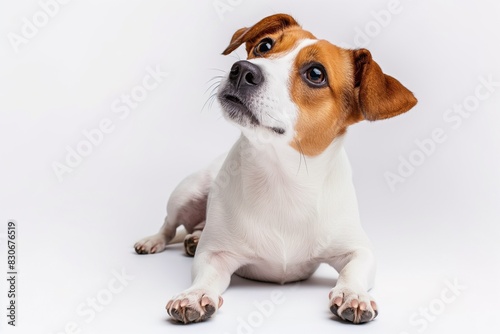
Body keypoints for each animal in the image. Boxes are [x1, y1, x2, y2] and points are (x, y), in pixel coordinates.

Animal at [135, 13, 416, 324]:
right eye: (264, 46)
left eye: (315, 74)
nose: (241, 70)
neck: (282, 178)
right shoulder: (215, 256)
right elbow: (205, 274)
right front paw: (195, 294)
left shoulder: (359, 250)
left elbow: (354, 269)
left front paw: (353, 294)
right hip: (186, 193)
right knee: (169, 226)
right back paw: (155, 240)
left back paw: (193, 239)